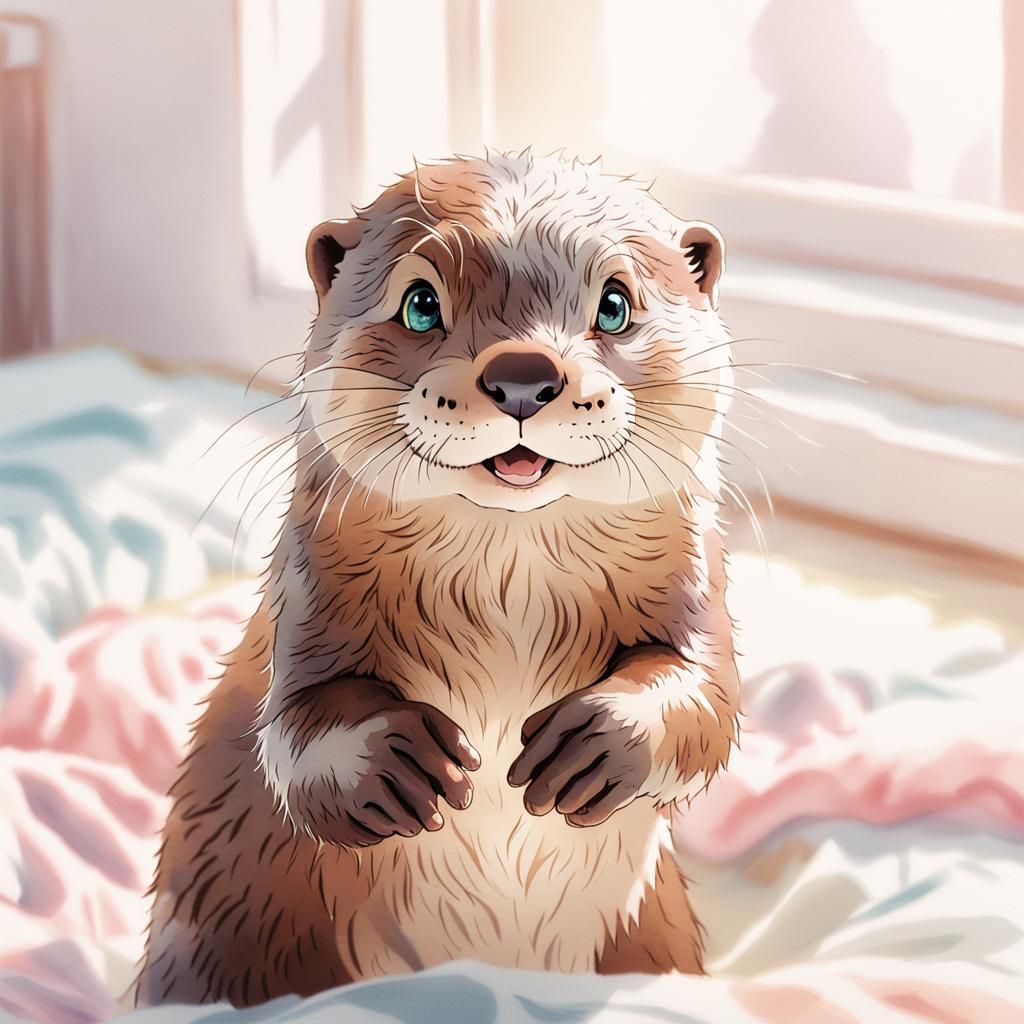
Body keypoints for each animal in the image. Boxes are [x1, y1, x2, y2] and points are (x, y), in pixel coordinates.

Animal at [136, 151, 740, 1007]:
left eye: (616, 302)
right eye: (421, 304)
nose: (522, 373)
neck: (511, 600)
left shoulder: (698, 583)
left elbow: (705, 697)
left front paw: (593, 744)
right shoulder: (304, 599)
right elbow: (292, 728)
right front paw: (393, 762)